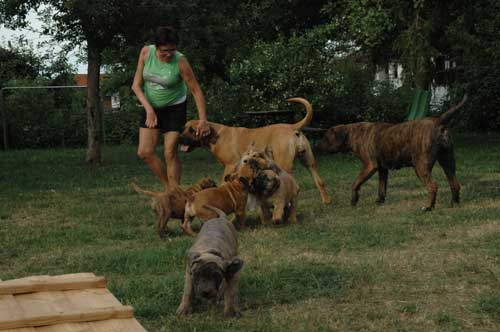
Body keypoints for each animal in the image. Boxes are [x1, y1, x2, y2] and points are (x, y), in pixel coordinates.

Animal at [178, 96, 330, 205]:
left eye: (191, 130)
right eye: (184, 128)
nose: (179, 138)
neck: (216, 135)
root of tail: (293, 127)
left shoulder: (230, 165)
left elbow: (224, 183)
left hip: (284, 165)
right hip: (309, 162)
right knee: (320, 182)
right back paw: (326, 201)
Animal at [318, 94, 466, 211]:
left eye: (325, 138)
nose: (316, 145)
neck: (353, 133)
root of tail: (438, 121)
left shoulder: (370, 166)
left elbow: (355, 183)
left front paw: (354, 200)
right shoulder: (383, 169)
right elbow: (381, 188)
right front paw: (379, 201)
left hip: (421, 167)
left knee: (433, 186)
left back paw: (428, 207)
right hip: (448, 162)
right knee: (455, 184)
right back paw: (454, 203)